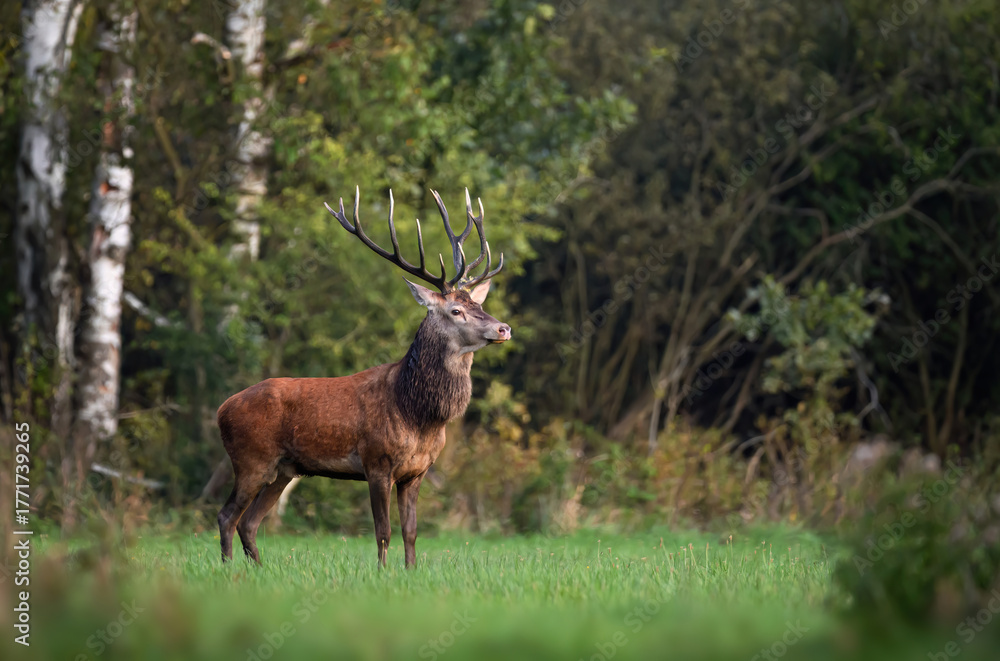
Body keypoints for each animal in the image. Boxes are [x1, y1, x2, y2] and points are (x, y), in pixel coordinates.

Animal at [216, 187, 510, 568]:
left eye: (479, 305)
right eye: (456, 310)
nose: (503, 328)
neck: (418, 415)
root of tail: (222, 409)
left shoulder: (417, 471)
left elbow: (411, 532)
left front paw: (411, 572)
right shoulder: (377, 461)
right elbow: (383, 532)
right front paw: (383, 574)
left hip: (284, 469)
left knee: (249, 523)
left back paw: (260, 570)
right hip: (251, 459)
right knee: (227, 516)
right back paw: (229, 570)